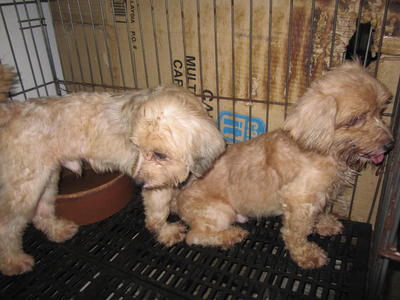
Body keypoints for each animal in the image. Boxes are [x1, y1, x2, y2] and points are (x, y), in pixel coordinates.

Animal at [0, 66, 225, 276]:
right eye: (136, 147)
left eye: (160, 154)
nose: (138, 183)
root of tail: (10, 111)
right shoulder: (157, 187)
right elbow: (158, 213)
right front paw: (166, 232)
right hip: (25, 188)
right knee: (7, 227)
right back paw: (13, 262)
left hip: (47, 179)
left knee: (41, 212)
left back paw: (59, 230)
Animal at [167, 62, 396, 268]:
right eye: (356, 118)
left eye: (381, 110)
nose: (390, 145)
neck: (324, 151)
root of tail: (177, 200)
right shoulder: (298, 201)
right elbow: (297, 233)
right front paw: (307, 255)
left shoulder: (318, 197)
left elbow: (318, 213)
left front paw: (324, 223)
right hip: (220, 213)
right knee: (195, 236)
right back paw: (230, 235)